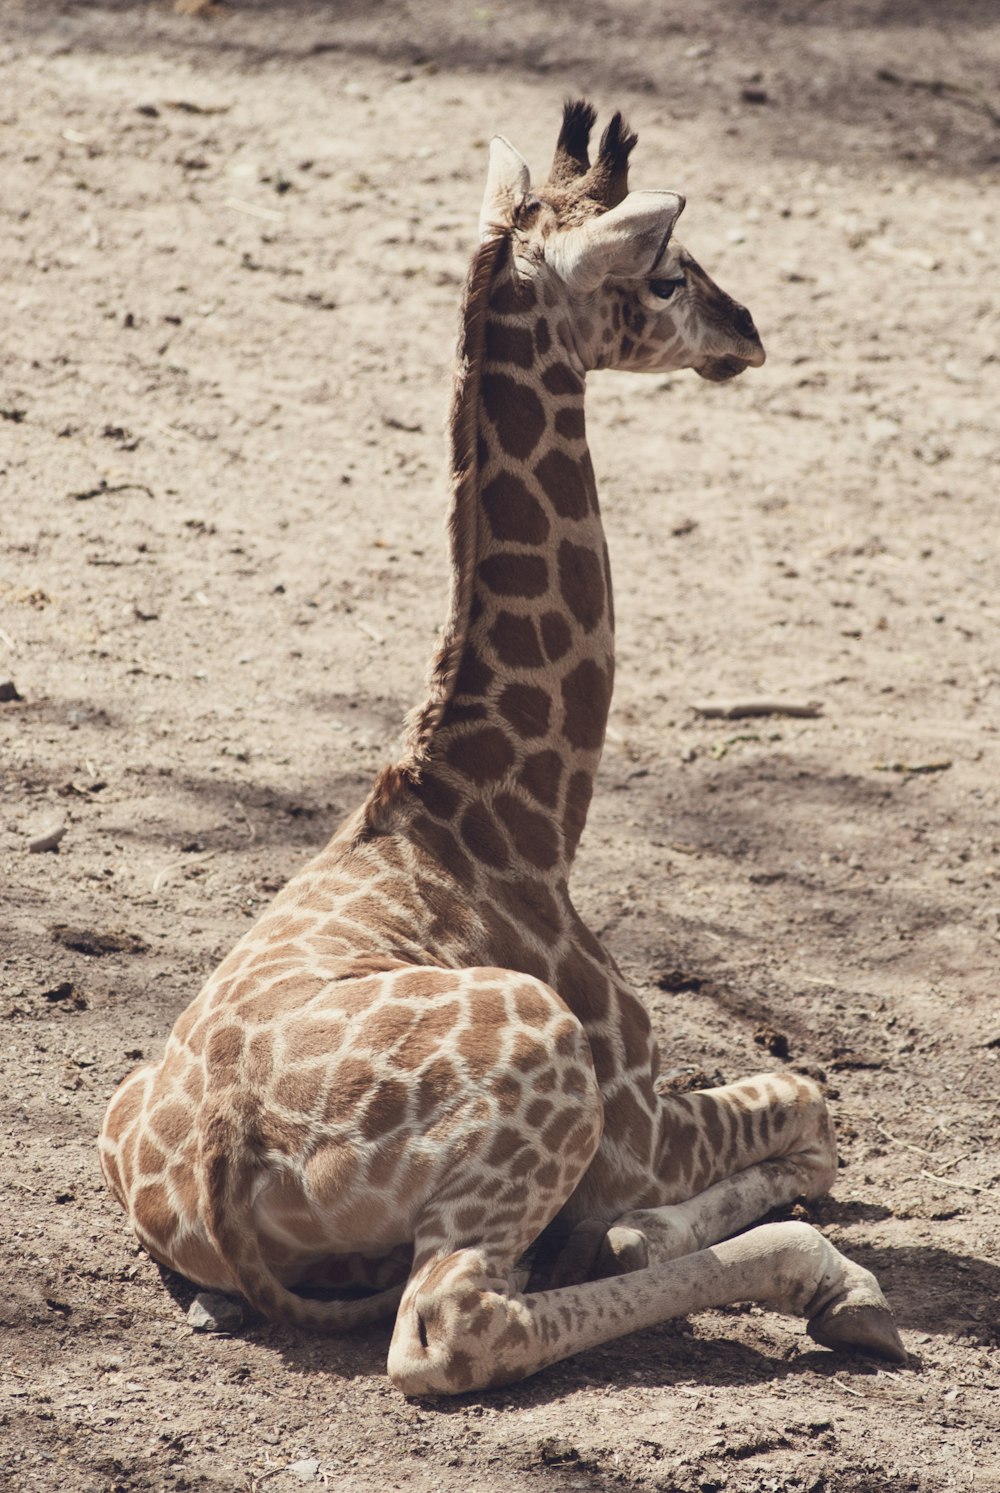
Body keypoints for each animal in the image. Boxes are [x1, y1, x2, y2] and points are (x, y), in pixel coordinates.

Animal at [101, 99, 907, 1391]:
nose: (746, 331)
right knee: (451, 1327)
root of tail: (225, 1158)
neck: (517, 813)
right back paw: (828, 1285)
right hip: (545, 1065)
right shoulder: (635, 1115)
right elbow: (808, 1100)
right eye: (667, 273)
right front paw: (657, 1230)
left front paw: (616, 1231)